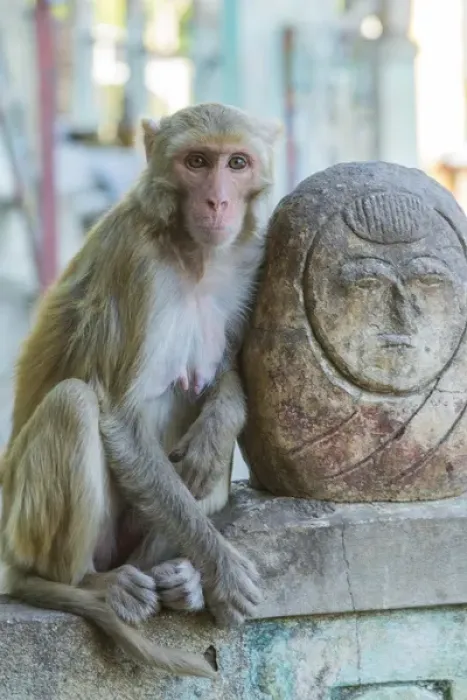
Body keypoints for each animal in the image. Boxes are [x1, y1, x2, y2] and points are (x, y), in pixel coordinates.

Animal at [0, 103, 281, 678]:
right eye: (197, 162)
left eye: (236, 163)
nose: (218, 201)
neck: (191, 254)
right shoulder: (135, 264)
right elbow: (119, 417)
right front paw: (221, 565)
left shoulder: (250, 260)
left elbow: (224, 378)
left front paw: (220, 422)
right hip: (23, 525)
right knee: (74, 404)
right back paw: (91, 583)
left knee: (200, 458)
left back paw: (181, 577)